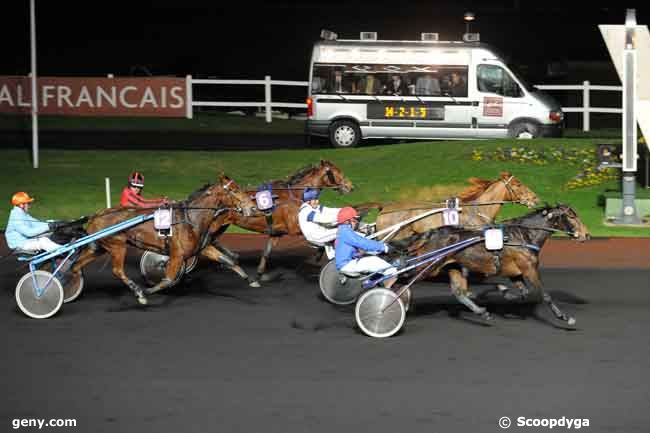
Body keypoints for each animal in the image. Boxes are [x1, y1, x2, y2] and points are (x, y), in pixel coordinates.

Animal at [69, 175, 253, 304]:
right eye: (234, 190)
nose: (251, 207)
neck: (191, 217)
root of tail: (96, 215)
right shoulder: (177, 255)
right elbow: (168, 280)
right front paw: (145, 292)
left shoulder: (202, 247)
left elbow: (228, 260)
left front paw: (251, 280)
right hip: (117, 246)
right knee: (117, 270)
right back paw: (137, 291)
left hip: (98, 247)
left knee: (76, 265)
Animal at [208, 160, 352, 278]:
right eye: (337, 172)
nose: (350, 186)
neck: (294, 194)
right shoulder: (294, 228)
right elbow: (318, 240)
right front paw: (319, 255)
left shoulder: (276, 232)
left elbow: (267, 252)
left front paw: (260, 272)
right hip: (216, 224)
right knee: (210, 240)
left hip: (222, 225)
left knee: (213, 239)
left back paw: (230, 256)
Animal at [398, 204, 588, 326]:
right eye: (572, 216)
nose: (586, 234)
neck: (523, 236)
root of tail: (431, 233)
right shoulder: (529, 269)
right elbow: (545, 295)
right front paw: (564, 317)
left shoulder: (515, 273)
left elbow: (523, 292)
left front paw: (503, 292)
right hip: (428, 267)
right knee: (402, 279)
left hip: (452, 266)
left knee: (459, 292)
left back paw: (481, 311)